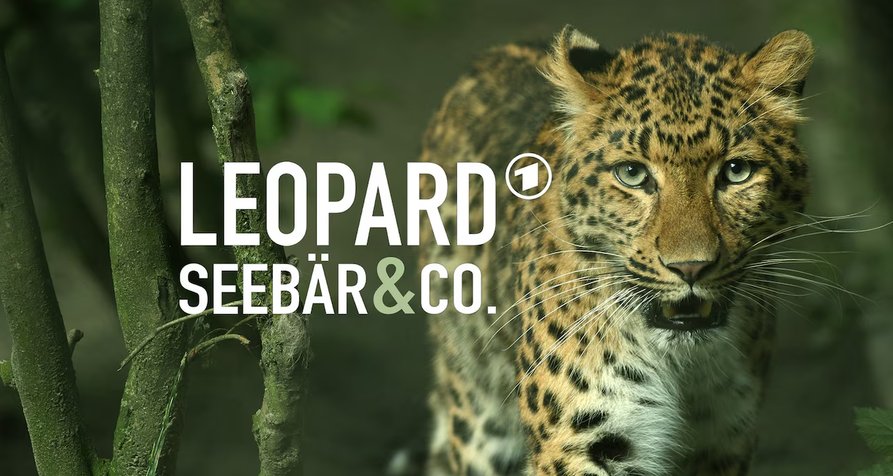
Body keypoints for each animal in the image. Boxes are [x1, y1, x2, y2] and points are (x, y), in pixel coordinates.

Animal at [413, 25, 814, 476]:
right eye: (632, 174)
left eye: (736, 171)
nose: (691, 268)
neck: (684, 366)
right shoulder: (582, 439)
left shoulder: (725, 438)